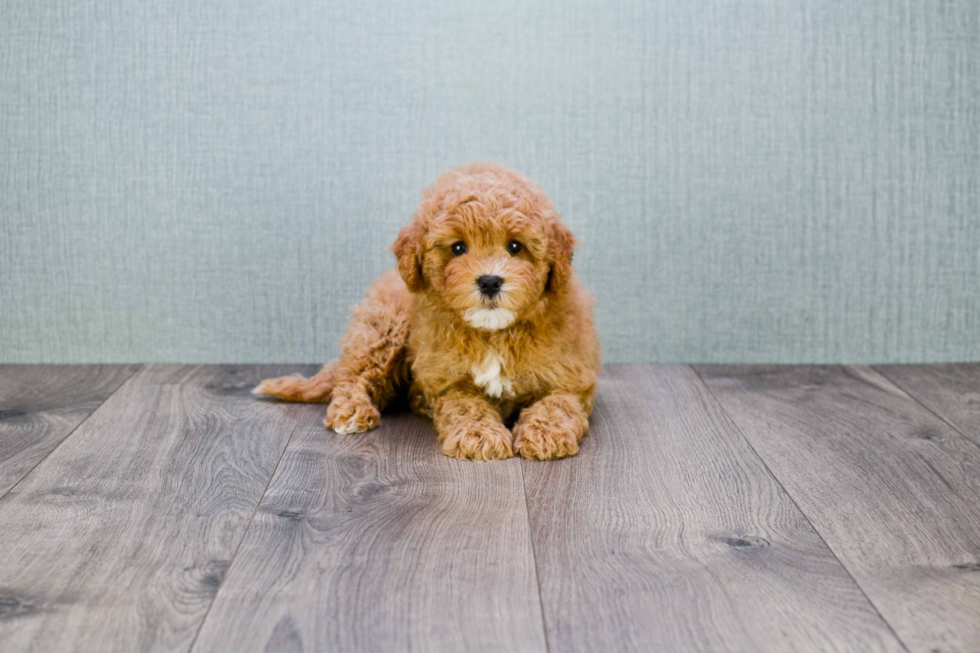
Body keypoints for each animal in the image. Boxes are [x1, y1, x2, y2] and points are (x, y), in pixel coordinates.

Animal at [253, 162, 600, 458]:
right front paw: (480, 436)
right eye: (458, 248)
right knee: (353, 375)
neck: (494, 333)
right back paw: (351, 411)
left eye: (515, 246)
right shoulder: (448, 381)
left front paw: (545, 433)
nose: (489, 281)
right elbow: (467, 405)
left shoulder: (571, 376)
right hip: (384, 329)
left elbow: (558, 403)